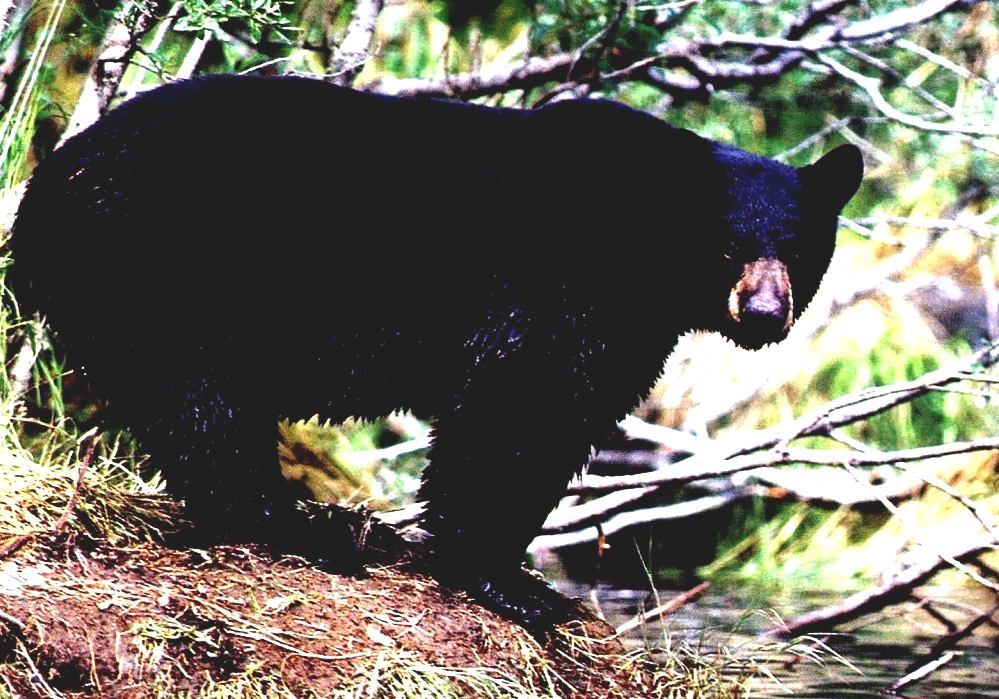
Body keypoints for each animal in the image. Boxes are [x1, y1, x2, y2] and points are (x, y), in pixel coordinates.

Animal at [10, 75, 863, 633]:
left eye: (797, 247)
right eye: (726, 248)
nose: (763, 311)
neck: (637, 243)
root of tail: (45, 186)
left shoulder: (625, 327)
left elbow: (564, 419)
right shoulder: (554, 286)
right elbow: (514, 407)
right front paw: (506, 580)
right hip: (165, 266)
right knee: (202, 402)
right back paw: (305, 528)